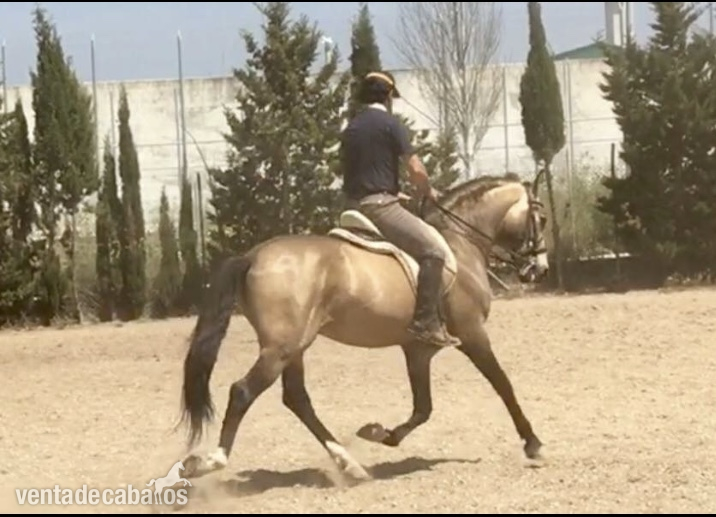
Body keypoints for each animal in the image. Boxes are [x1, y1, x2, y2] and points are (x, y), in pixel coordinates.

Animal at [178, 171, 550, 481]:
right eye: (542, 218)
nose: (539, 269)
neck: (461, 242)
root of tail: (252, 255)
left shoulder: (418, 350)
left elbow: (423, 408)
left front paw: (381, 434)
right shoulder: (472, 334)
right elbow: (502, 384)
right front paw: (533, 443)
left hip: (294, 347)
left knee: (296, 399)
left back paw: (349, 463)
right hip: (281, 348)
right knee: (243, 391)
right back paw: (211, 461)